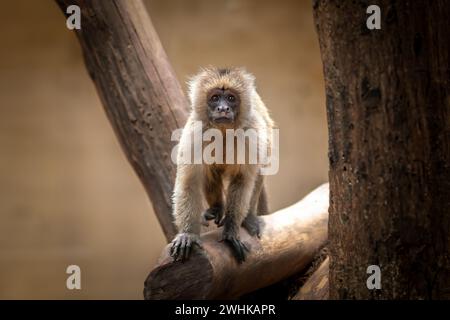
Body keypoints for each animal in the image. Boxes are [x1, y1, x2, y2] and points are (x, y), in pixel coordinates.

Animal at [170, 65, 272, 262]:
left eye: (231, 98)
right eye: (215, 98)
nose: (223, 108)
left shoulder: (251, 131)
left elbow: (243, 179)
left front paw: (231, 230)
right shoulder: (196, 131)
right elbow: (189, 182)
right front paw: (188, 234)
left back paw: (248, 217)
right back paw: (217, 208)